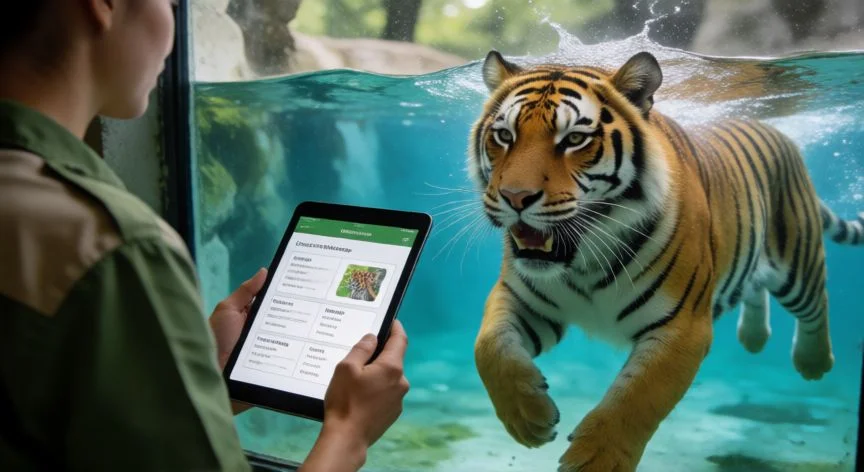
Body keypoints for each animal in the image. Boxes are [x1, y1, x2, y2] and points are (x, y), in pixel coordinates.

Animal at [466, 49, 864, 472]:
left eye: (574, 139)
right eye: (504, 136)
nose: (515, 197)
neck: (584, 259)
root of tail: (778, 133)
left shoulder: (683, 326)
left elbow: (639, 397)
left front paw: (596, 459)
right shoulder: (522, 298)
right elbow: (489, 347)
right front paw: (528, 419)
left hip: (797, 260)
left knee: (816, 303)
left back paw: (813, 362)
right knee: (756, 287)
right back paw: (753, 339)